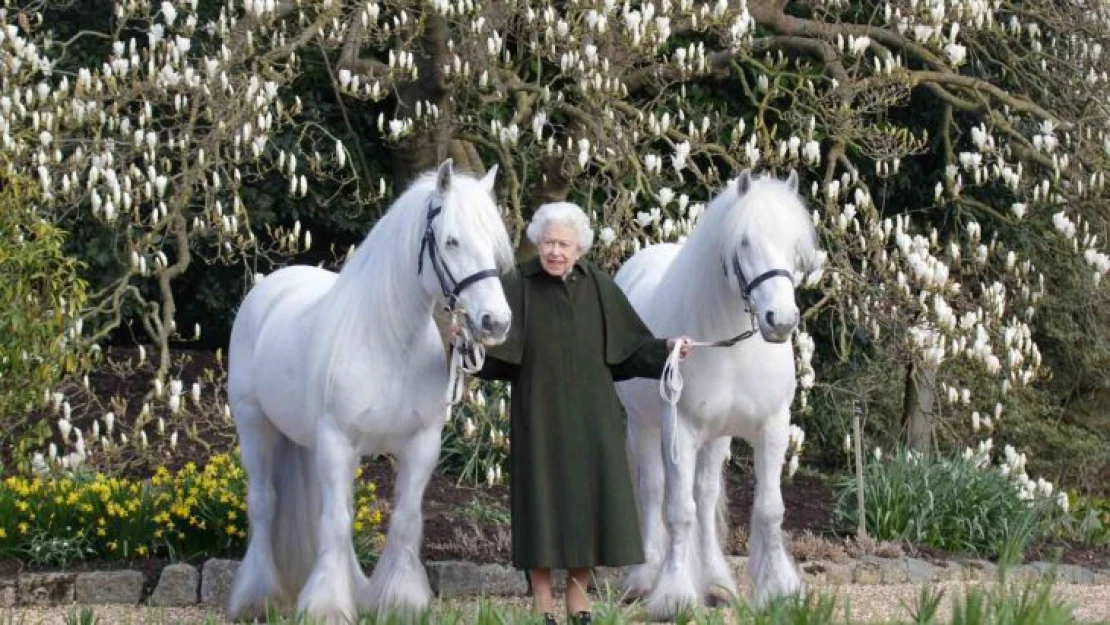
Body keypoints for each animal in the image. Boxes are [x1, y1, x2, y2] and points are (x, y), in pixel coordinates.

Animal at [226, 160, 519, 625]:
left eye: (493, 244)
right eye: (452, 240)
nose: (496, 322)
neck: (388, 342)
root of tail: (271, 286)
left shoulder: (421, 444)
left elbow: (402, 519)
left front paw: (399, 600)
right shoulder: (337, 440)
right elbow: (334, 521)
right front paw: (326, 607)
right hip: (255, 426)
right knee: (264, 504)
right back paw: (258, 597)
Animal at [617, 168, 825, 617]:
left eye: (793, 244)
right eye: (744, 241)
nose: (781, 321)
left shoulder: (772, 427)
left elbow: (768, 509)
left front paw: (779, 590)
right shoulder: (679, 430)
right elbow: (679, 511)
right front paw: (674, 595)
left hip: (717, 437)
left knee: (706, 491)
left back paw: (715, 583)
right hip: (643, 427)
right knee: (653, 491)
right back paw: (645, 578)